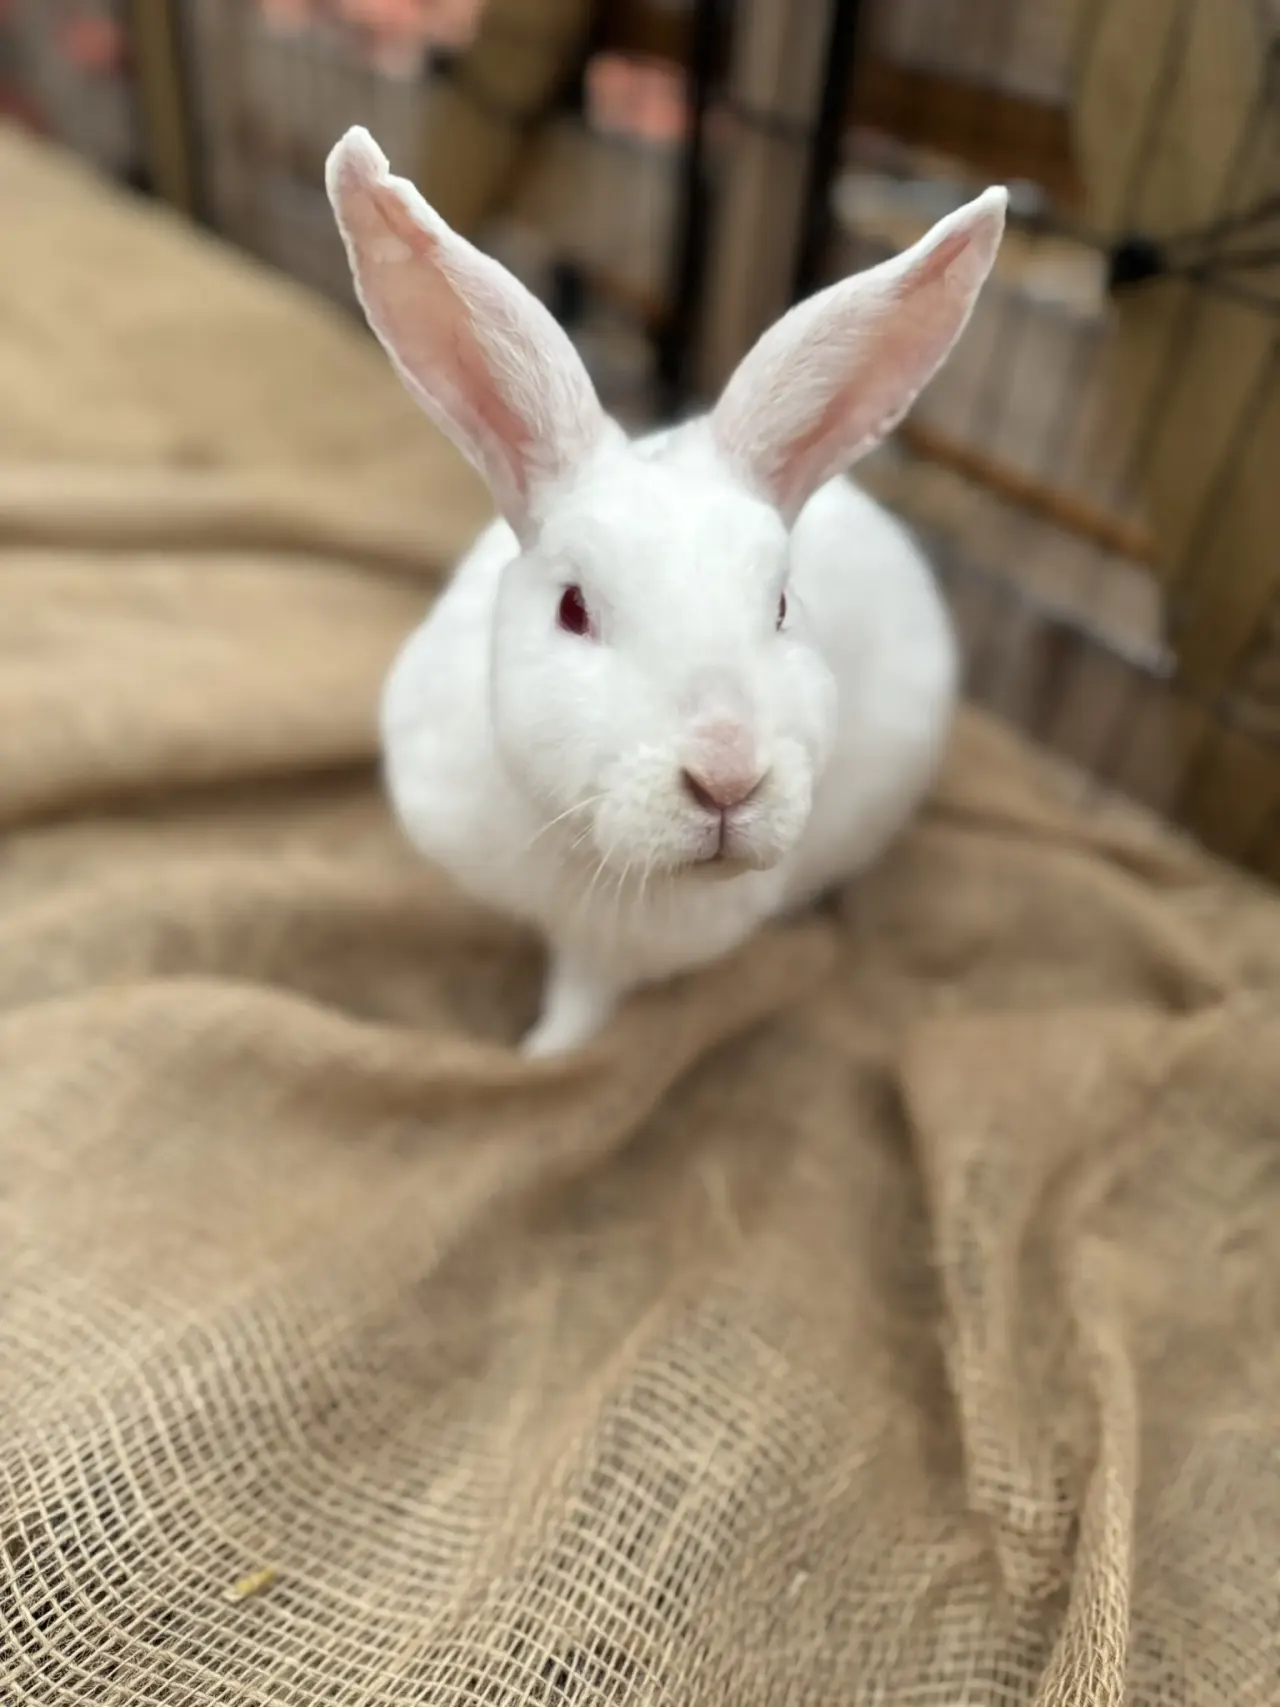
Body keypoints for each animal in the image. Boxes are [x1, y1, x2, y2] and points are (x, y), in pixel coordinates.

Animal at [326, 127, 1006, 1057]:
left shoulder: (612, 954)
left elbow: (581, 1010)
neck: (575, 843)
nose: (727, 777)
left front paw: (537, 1056)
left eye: (782, 606)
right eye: (573, 608)